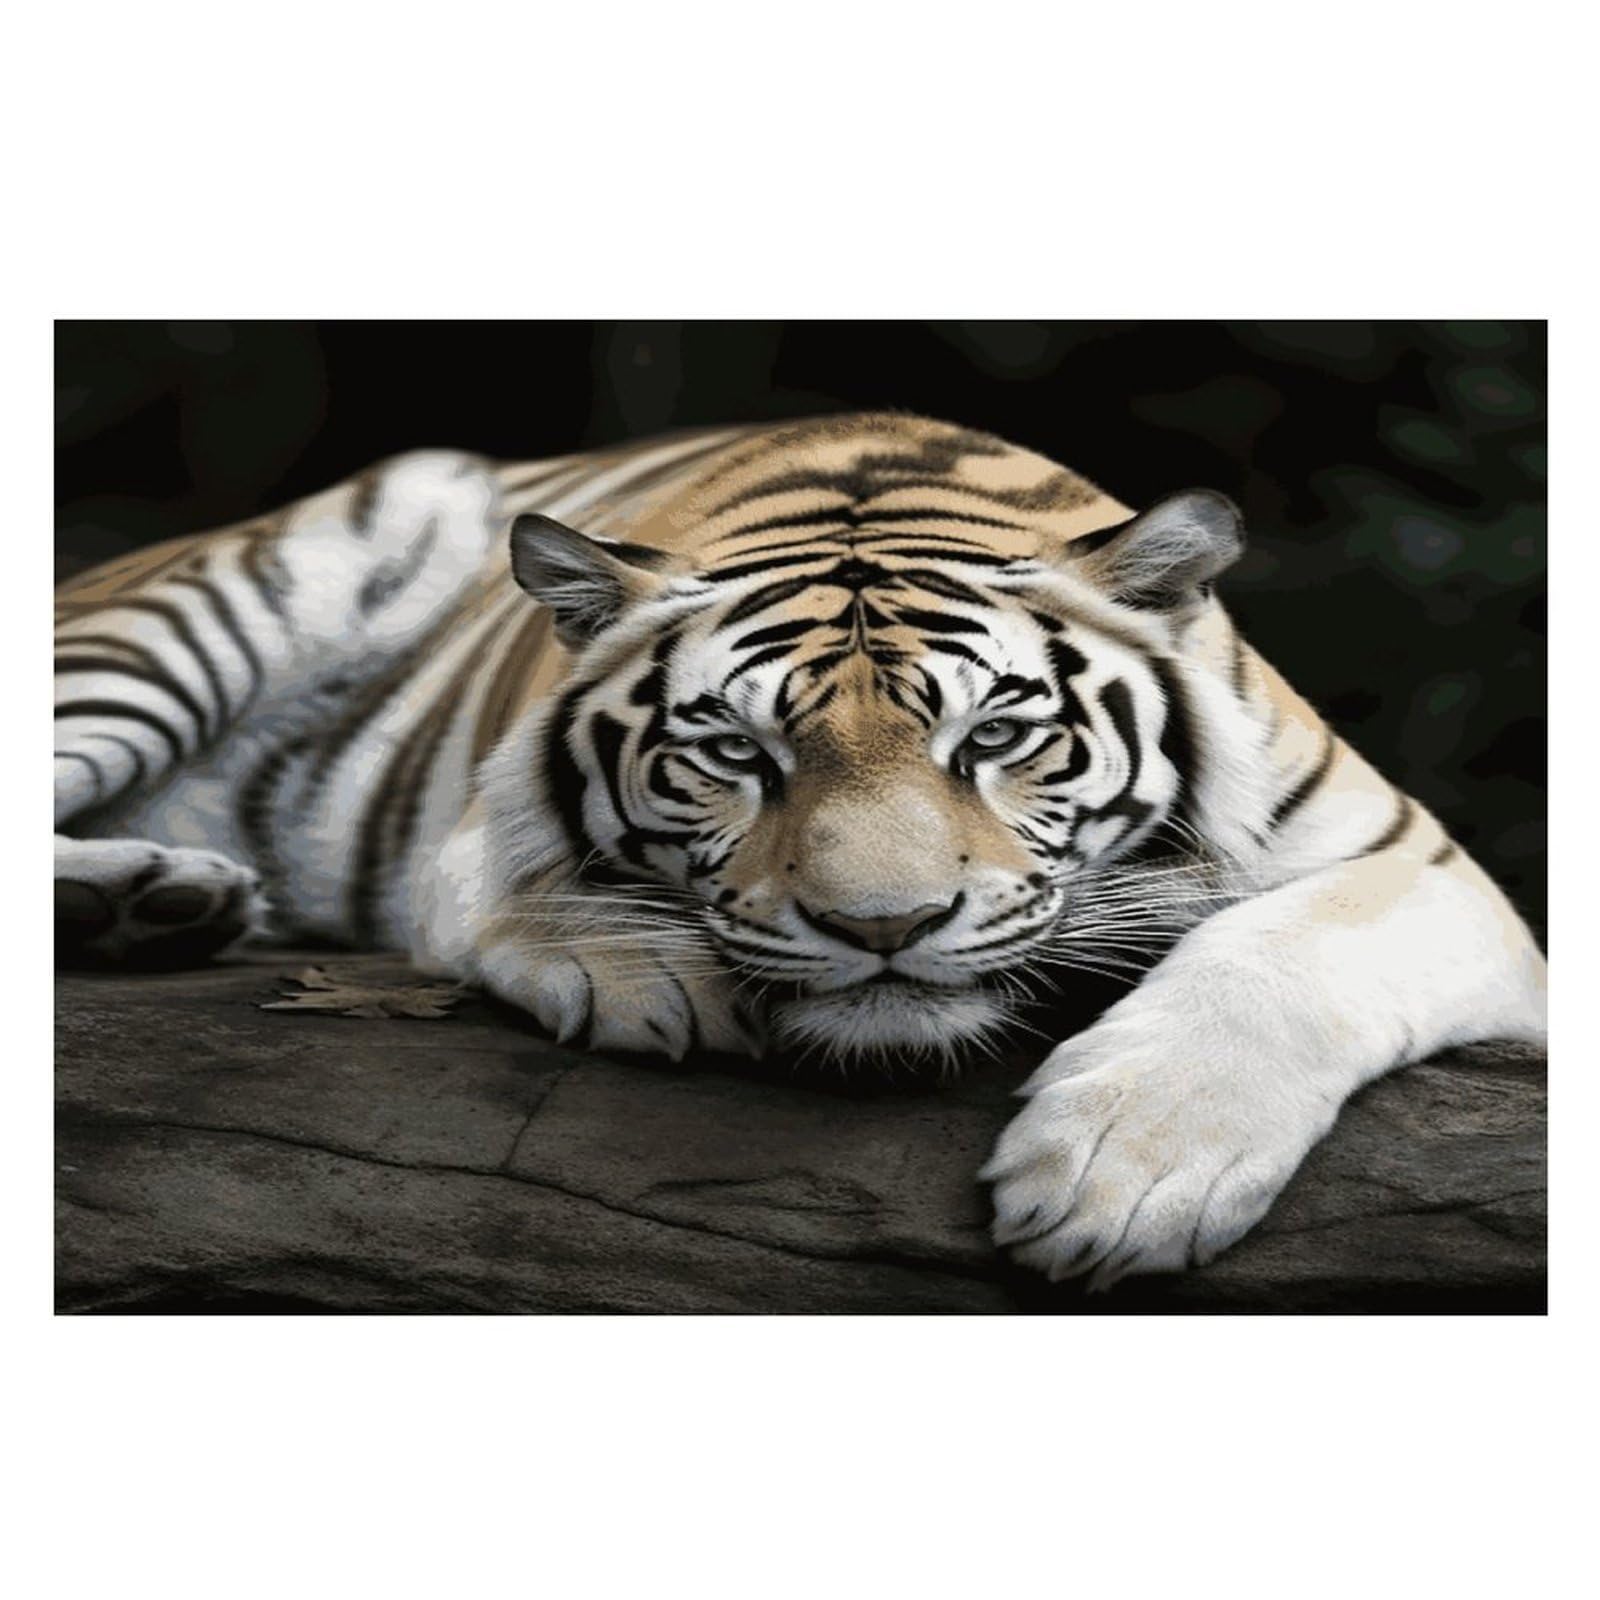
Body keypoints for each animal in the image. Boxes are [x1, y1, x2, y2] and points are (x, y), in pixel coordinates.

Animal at [54, 412, 1547, 1287]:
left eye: (996, 734)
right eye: (734, 751)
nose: (881, 928)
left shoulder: (1422, 866)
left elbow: (1284, 953)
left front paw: (1125, 1176)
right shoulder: (474, 819)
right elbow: (517, 888)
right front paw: (647, 975)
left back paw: (160, 901)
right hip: (197, 609)